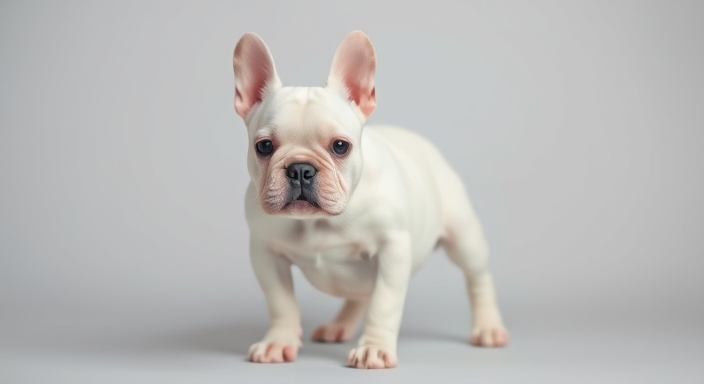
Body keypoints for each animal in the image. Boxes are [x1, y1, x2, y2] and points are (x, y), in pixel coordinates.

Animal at [234, 30, 508, 368]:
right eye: (264, 146)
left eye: (340, 146)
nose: (300, 169)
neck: (319, 222)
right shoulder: (266, 254)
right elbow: (280, 303)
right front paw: (278, 342)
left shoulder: (392, 249)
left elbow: (384, 303)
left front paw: (374, 348)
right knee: (359, 295)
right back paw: (339, 325)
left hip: (464, 239)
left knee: (478, 278)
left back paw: (488, 327)